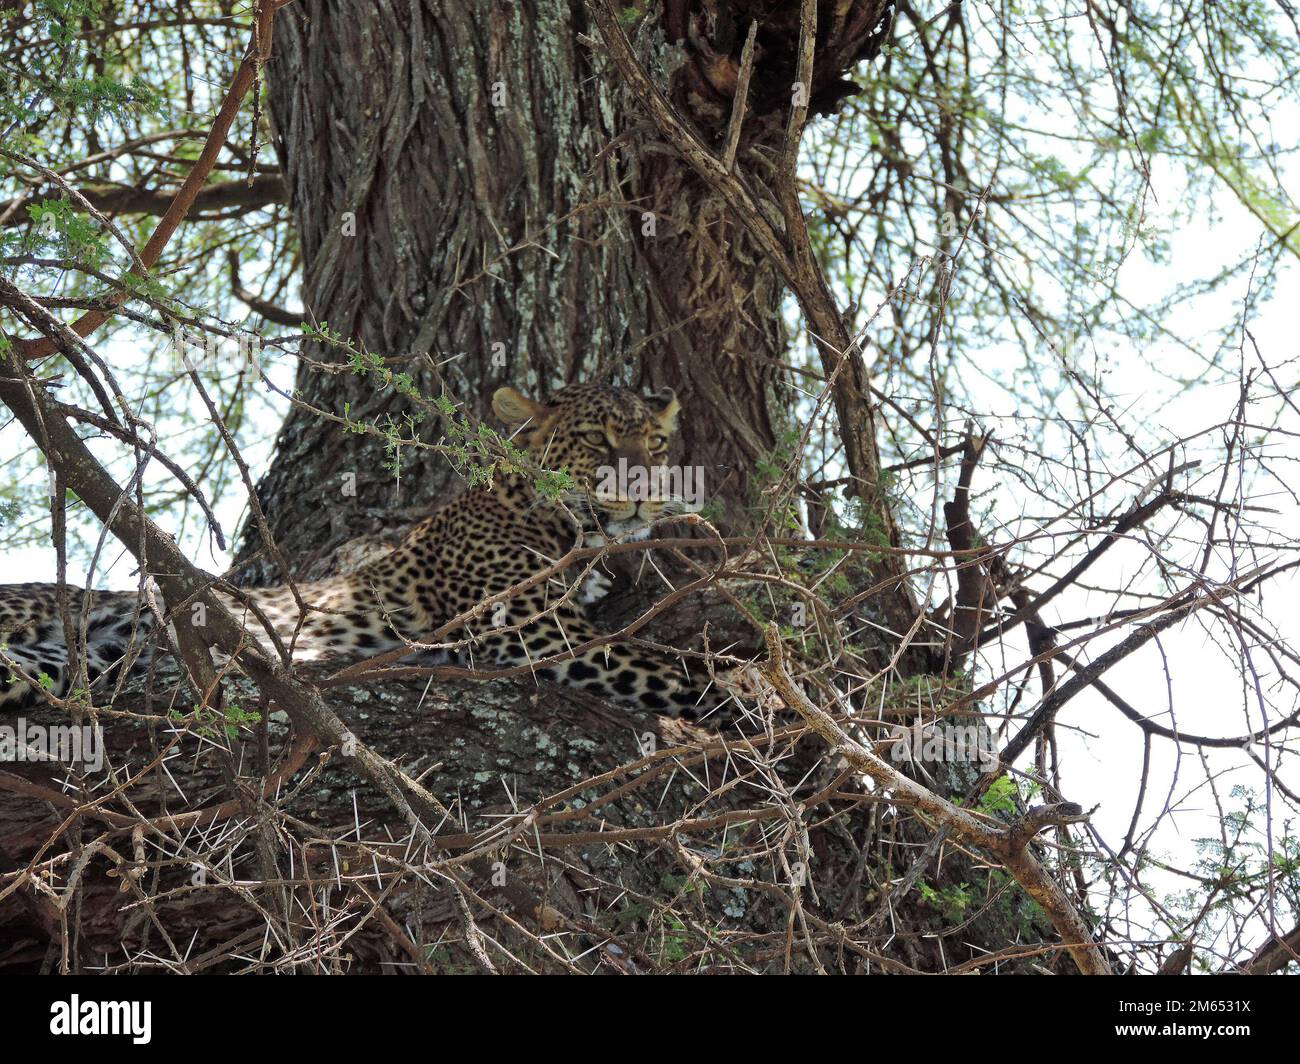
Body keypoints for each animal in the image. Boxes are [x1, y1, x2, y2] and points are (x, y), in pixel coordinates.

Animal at [0, 383, 736, 719]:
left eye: (657, 445)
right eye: (595, 441)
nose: (645, 490)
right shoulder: (539, 634)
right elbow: (686, 673)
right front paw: (752, 703)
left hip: (69, 662)